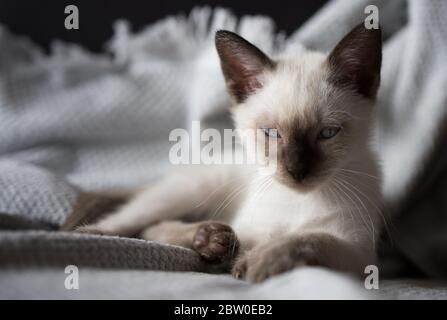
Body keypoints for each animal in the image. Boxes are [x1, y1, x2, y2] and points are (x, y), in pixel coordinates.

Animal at [74, 23, 384, 282]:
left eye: (327, 133)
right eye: (272, 133)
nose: (297, 171)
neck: (298, 200)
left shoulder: (360, 254)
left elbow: (309, 239)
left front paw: (260, 262)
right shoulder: (251, 230)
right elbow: (265, 242)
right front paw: (241, 258)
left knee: (153, 228)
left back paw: (211, 239)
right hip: (191, 190)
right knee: (138, 221)